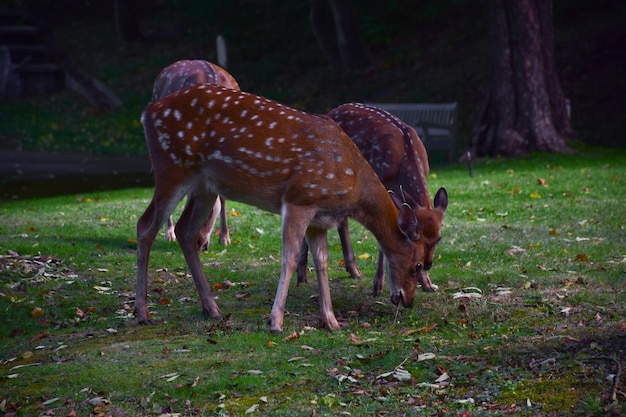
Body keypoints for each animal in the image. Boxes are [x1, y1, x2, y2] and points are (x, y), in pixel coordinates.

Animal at [135, 83, 428, 332]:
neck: (352, 182)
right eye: (418, 264)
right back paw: (143, 313)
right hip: (172, 167)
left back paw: (212, 308)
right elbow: (289, 257)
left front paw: (331, 321)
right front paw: (275, 321)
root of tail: (147, 112)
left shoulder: (320, 219)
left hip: (204, 186)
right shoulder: (300, 198)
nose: (407, 300)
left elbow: (322, 261)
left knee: (185, 231)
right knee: (145, 225)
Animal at [296, 102, 446, 294]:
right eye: (417, 238)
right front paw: (378, 285)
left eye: (438, 238)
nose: (427, 264)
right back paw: (302, 274)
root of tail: (331, 112)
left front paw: (427, 283)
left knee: (342, 220)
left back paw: (353, 270)